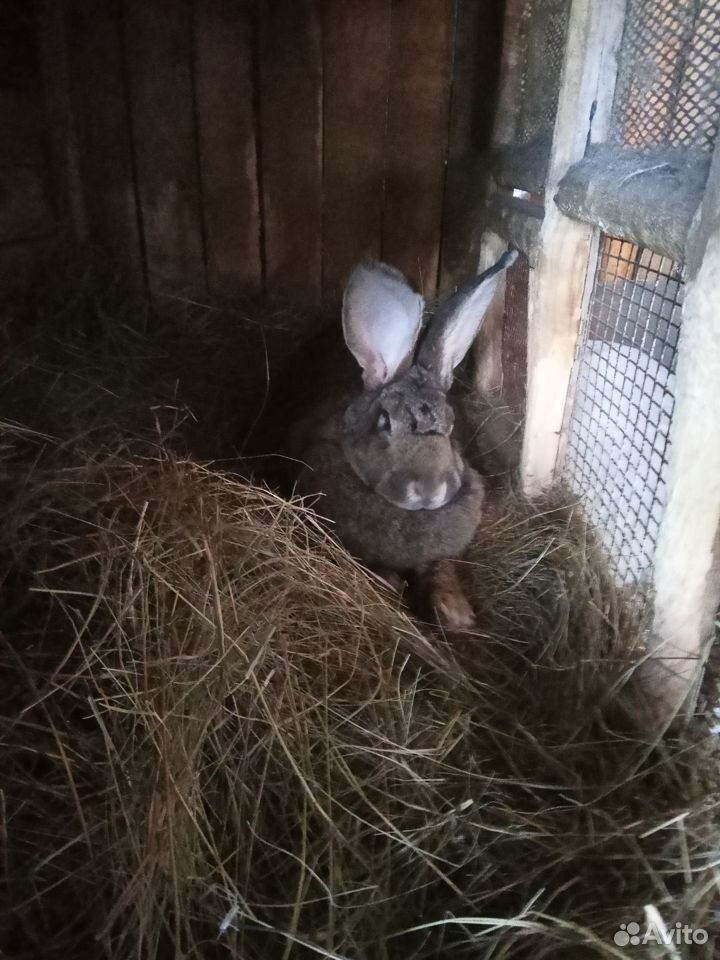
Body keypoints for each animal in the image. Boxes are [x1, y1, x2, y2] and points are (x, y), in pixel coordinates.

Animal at [286, 248, 516, 632]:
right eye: (385, 422)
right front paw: (391, 585)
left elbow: (441, 567)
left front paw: (455, 612)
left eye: (451, 425)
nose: (430, 491)